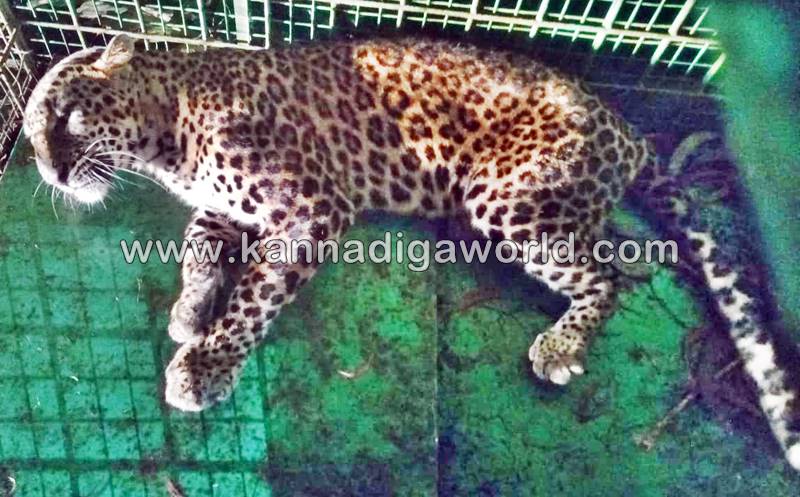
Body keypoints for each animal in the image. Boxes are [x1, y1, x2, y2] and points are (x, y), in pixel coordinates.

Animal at [22, 34, 800, 469]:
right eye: (30, 137)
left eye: (68, 119)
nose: (50, 174)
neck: (164, 143)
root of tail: (626, 128)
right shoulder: (222, 210)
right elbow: (199, 257)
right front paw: (190, 314)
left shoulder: (310, 208)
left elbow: (255, 293)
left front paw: (206, 365)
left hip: (506, 200)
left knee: (608, 273)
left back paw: (560, 346)